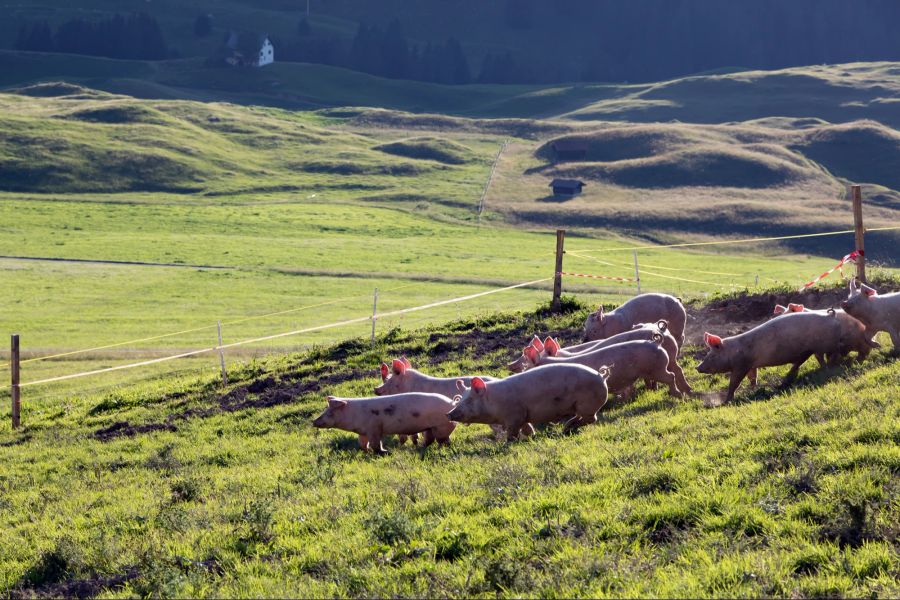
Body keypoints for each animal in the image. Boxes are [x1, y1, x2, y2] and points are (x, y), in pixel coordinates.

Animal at [314, 394, 458, 454]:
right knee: (431, 439)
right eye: (325, 410)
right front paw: (366, 452)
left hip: (441, 427)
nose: (313, 421)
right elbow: (362, 443)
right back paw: (420, 448)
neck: (355, 413)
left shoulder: (374, 428)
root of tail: (453, 403)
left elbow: (376, 443)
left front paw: (386, 452)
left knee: (443, 441)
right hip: (431, 428)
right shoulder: (363, 431)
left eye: (329, 413)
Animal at [450, 360, 612, 440]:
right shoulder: (523, 415)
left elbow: (513, 432)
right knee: (583, 417)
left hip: (587, 405)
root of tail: (601, 376)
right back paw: (567, 428)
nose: (448, 414)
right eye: (459, 400)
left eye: (469, 400)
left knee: (592, 419)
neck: (495, 401)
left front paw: (509, 442)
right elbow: (527, 427)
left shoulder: (514, 415)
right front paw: (532, 436)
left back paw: (566, 428)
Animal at [696, 310, 880, 404]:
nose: (697, 367)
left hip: (826, 345)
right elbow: (753, 376)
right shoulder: (751, 365)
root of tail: (831, 315)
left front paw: (726, 401)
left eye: (711, 355)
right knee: (810, 361)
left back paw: (827, 370)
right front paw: (753, 387)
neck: (734, 349)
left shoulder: (741, 364)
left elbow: (734, 383)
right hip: (813, 349)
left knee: (829, 357)